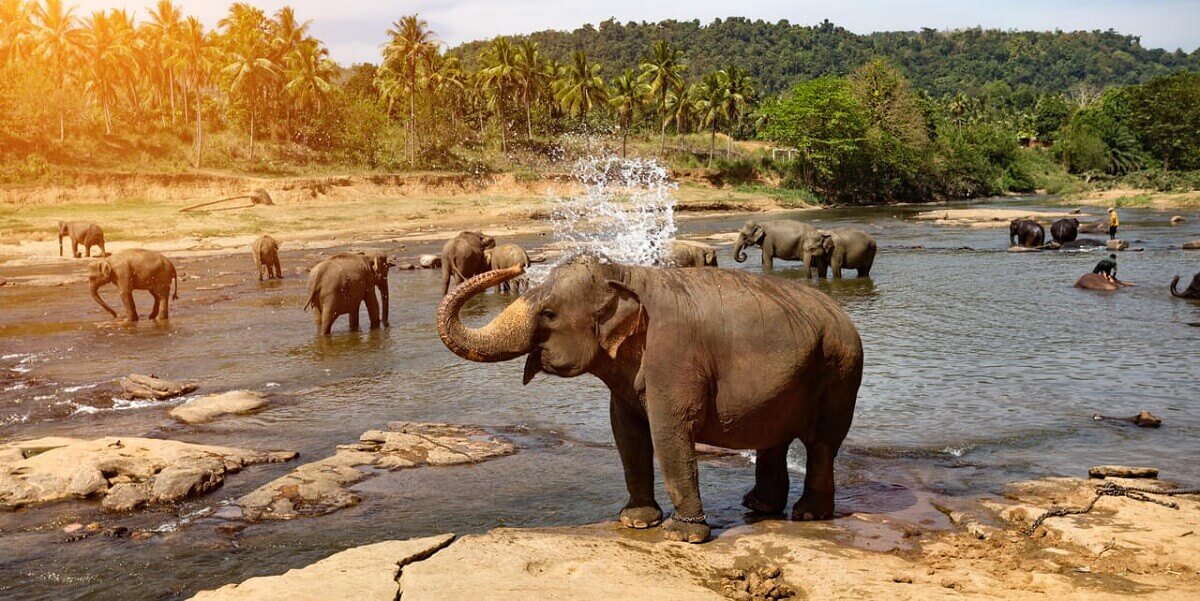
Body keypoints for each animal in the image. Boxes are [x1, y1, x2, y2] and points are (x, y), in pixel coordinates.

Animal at [434, 253, 864, 544]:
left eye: (550, 314)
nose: (516, 268)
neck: (625, 274)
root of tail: (842, 313)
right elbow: (626, 433)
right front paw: (637, 522)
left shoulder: (673, 356)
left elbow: (668, 431)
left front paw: (681, 536)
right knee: (774, 439)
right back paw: (758, 507)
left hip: (840, 371)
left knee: (822, 443)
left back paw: (807, 515)